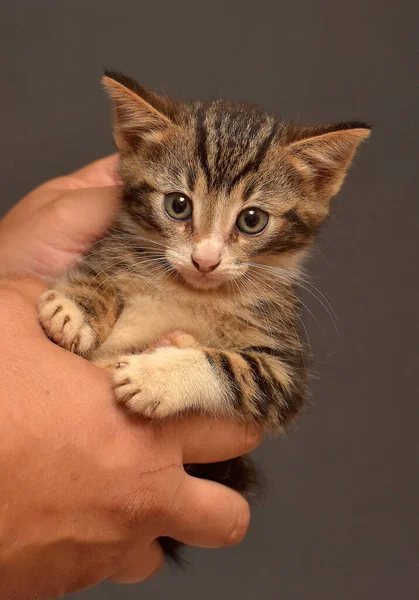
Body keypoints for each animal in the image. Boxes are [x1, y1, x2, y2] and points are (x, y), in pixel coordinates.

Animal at [37, 72, 370, 560]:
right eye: (178, 205)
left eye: (252, 220)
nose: (205, 260)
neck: (192, 292)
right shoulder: (119, 249)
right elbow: (103, 273)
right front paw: (75, 307)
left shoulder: (285, 374)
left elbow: (233, 367)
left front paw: (157, 377)